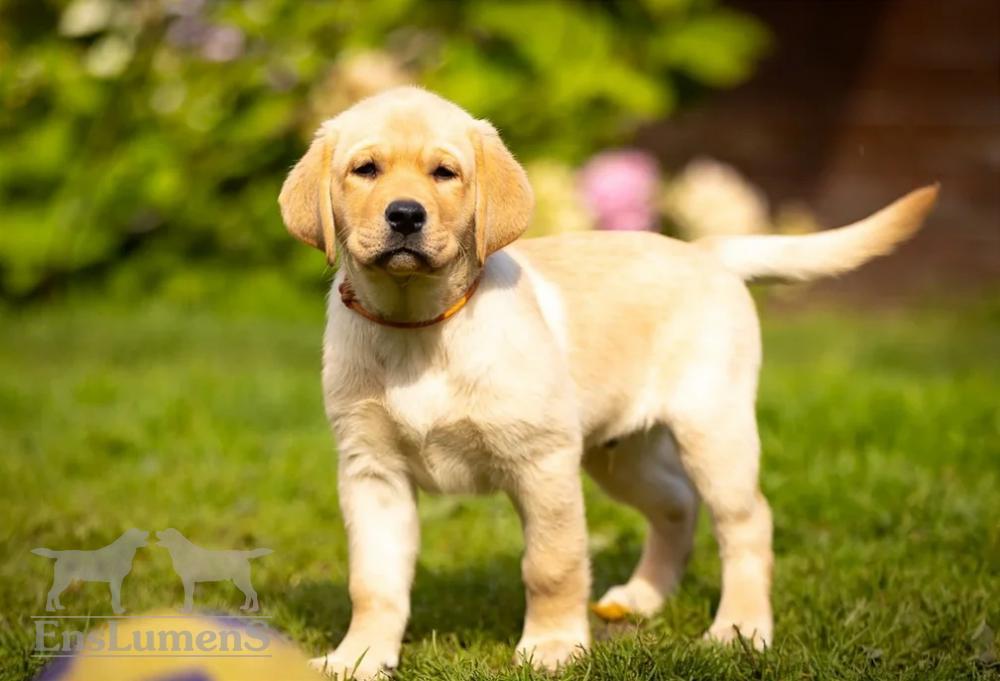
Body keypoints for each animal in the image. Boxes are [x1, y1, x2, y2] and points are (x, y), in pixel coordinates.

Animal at [282, 87, 936, 676]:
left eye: (445, 173)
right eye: (365, 170)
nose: (405, 215)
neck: (417, 324)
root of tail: (705, 252)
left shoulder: (543, 462)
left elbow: (551, 564)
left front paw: (552, 647)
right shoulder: (372, 472)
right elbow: (374, 581)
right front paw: (360, 656)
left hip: (712, 429)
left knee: (747, 523)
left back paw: (739, 628)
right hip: (620, 452)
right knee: (676, 503)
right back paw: (644, 596)